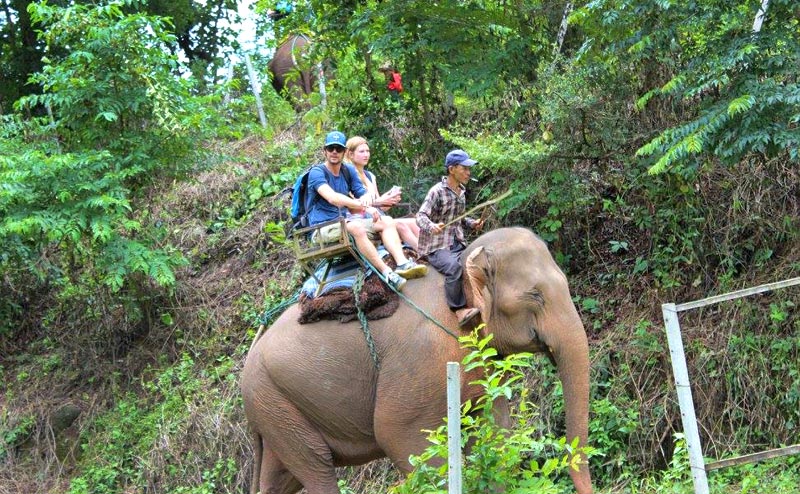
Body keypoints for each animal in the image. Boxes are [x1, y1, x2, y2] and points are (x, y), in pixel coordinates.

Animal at [241, 228, 592, 494]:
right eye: (536, 296)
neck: (460, 268)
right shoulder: (420, 356)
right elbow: (398, 435)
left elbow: (496, 429)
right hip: (272, 401)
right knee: (316, 467)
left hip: (277, 409)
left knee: (281, 476)